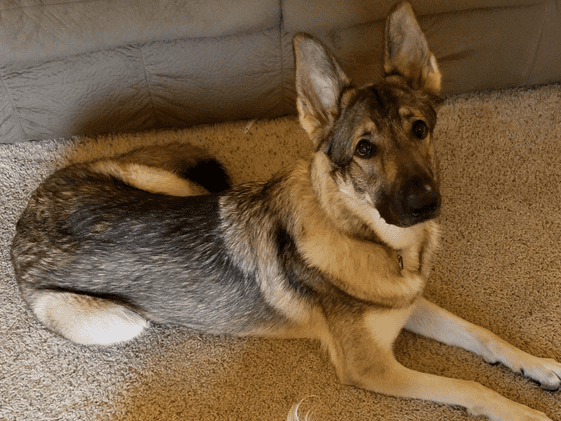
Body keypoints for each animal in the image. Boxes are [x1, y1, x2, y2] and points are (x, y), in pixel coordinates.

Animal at [9, 1, 560, 418]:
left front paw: (538, 365)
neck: (368, 236)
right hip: (122, 321)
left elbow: (482, 334)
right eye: (364, 149)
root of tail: (27, 218)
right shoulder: (372, 368)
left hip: (176, 187)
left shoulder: (406, 303)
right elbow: (470, 386)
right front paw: (524, 411)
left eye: (420, 129)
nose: (426, 204)